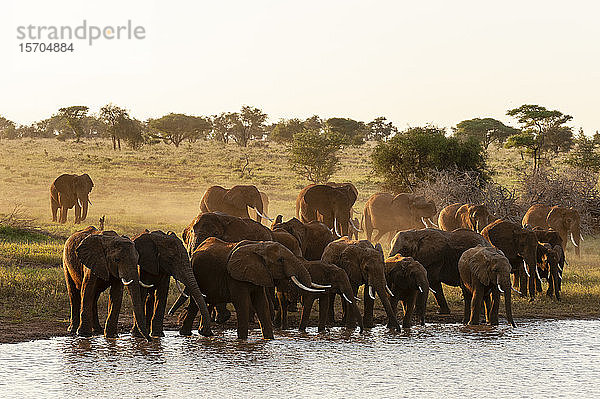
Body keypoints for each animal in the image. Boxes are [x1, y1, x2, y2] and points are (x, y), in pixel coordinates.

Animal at [177, 239, 322, 340]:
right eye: (280, 260)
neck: (259, 246)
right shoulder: (235, 277)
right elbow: (243, 303)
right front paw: (242, 340)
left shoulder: (259, 273)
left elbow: (261, 304)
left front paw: (269, 339)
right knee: (195, 304)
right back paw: (188, 333)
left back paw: (201, 333)